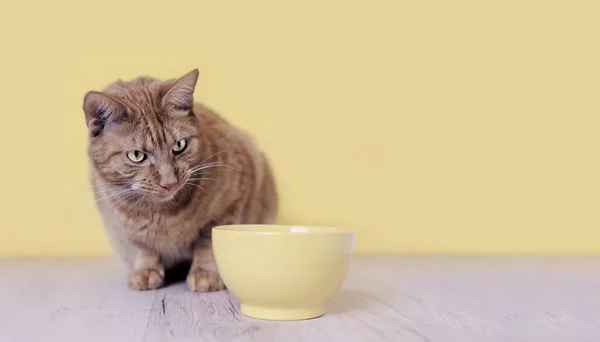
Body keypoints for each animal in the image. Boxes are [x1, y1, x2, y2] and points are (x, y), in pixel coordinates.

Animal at [82, 69, 278, 292]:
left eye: (179, 145)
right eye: (136, 155)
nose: (169, 181)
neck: (164, 214)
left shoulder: (231, 205)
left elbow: (206, 242)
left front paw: (205, 274)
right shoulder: (122, 228)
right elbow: (143, 247)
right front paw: (146, 271)